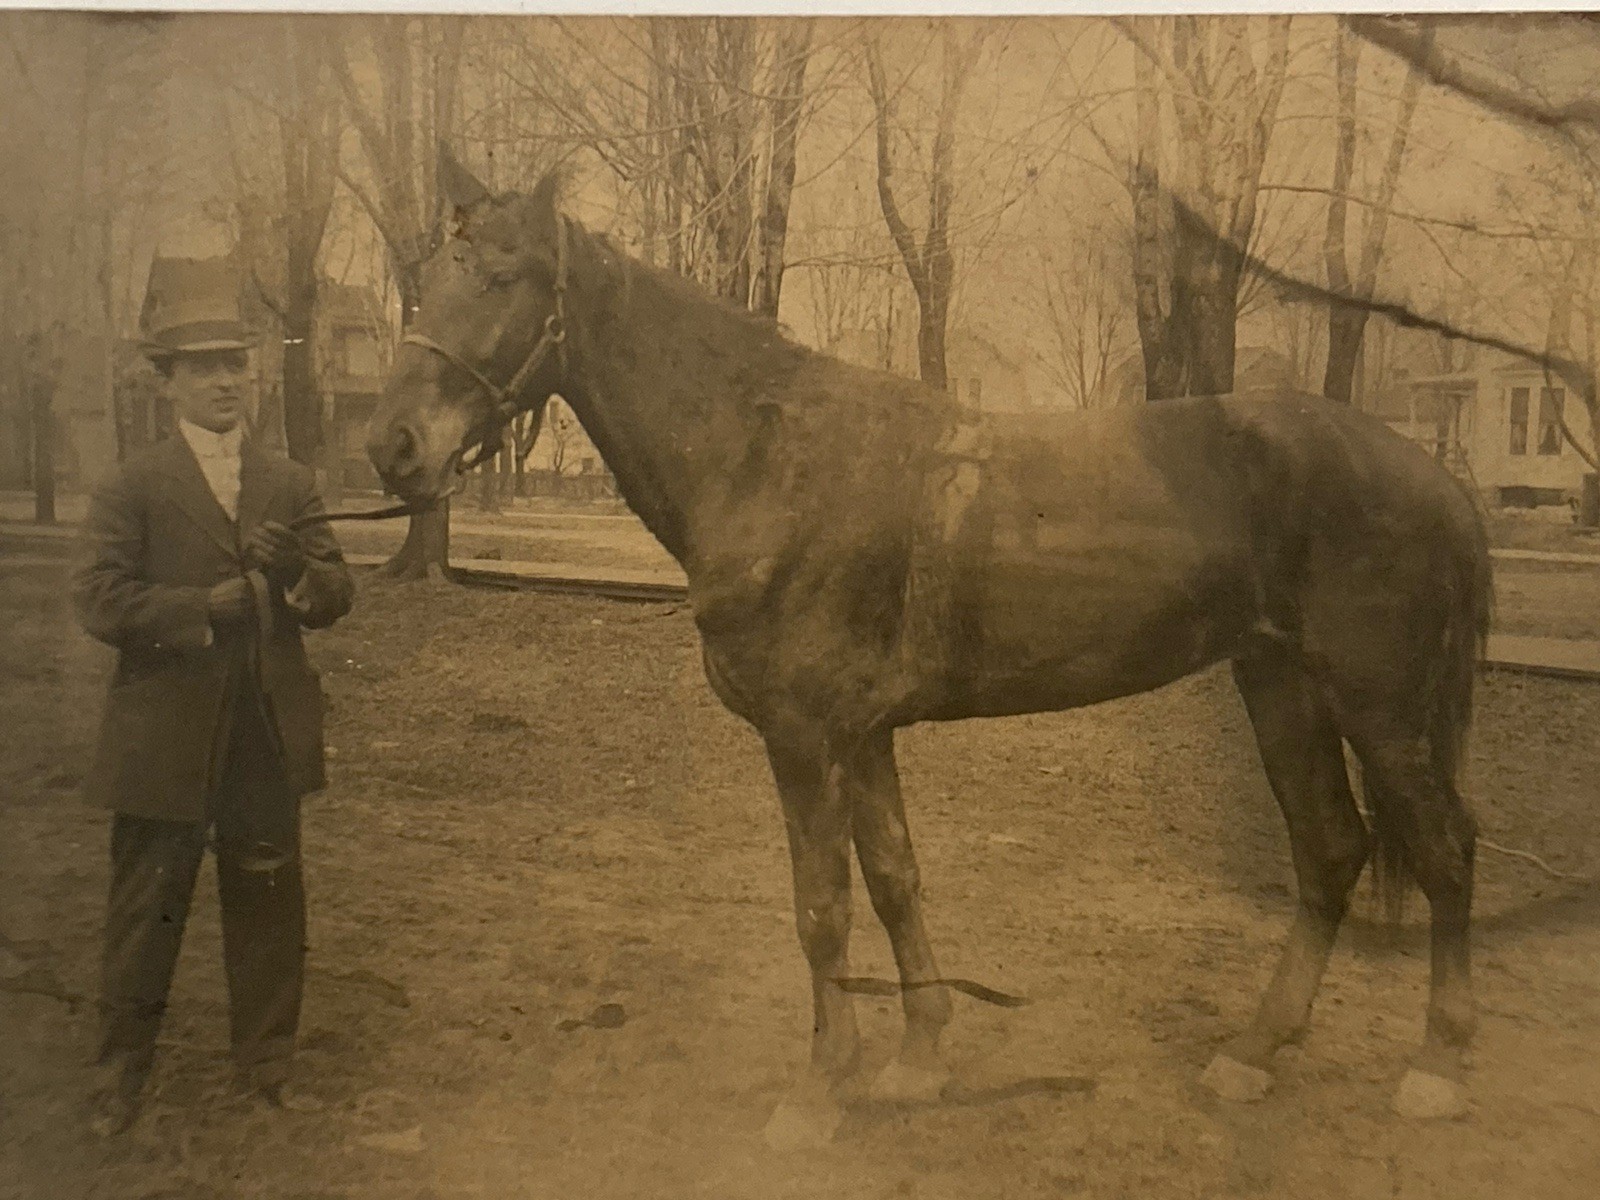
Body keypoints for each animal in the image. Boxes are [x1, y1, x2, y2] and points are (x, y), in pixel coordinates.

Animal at [366, 164, 1493, 1144]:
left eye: (502, 277)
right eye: (427, 278)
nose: (393, 447)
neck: (770, 457)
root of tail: (1433, 475)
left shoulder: (804, 737)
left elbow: (821, 910)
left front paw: (820, 1092)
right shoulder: (864, 735)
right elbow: (894, 879)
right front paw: (917, 1060)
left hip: (1379, 707)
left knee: (1442, 848)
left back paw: (1438, 1069)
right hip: (1280, 687)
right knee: (1329, 848)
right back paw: (1254, 1053)